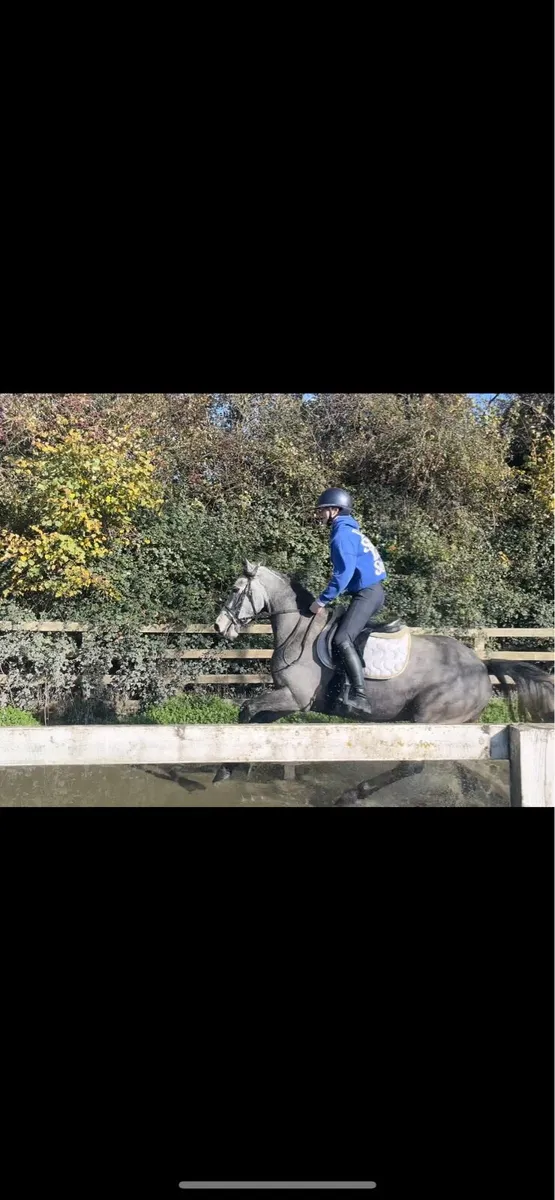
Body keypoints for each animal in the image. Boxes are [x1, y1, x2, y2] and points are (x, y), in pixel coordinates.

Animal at [212, 561, 554, 783]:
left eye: (235, 589)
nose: (219, 626)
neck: (299, 630)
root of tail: (481, 666)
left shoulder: (293, 697)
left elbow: (247, 710)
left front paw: (226, 768)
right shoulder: (290, 702)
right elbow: (255, 722)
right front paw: (236, 764)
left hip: (429, 720)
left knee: (411, 767)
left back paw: (353, 795)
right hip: (460, 727)